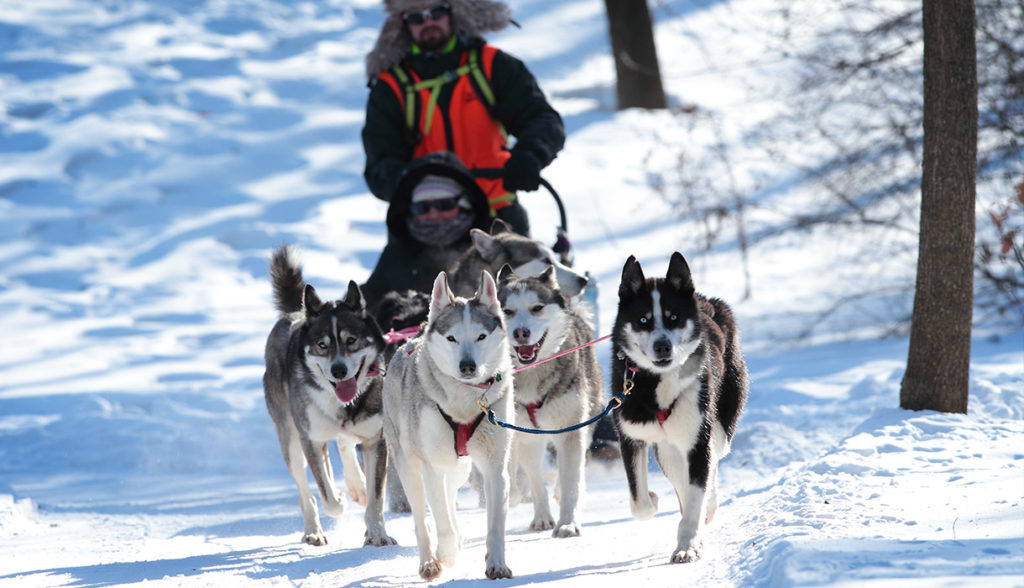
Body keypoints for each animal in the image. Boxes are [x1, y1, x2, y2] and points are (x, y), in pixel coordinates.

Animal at [262, 246, 393, 549]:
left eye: (351, 340)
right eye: (322, 345)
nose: (339, 370)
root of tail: (296, 313)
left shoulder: (376, 441)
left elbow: (376, 499)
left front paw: (377, 533)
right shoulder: (311, 440)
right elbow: (328, 496)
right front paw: (340, 501)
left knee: (345, 443)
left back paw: (357, 487)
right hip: (291, 441)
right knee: (306, 492)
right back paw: (314, 530)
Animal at [380, 272, 516, 585]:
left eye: (480, 336)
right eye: (452, 337)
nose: (467, 366)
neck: (465, 403)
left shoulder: (495, 467)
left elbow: (495, 524)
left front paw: (497, 564)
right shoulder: (432, 466)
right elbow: (440, 519)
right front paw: (447, 553)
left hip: (460, 468)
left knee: (451, 496)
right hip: (410, 467)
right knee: (423, 516)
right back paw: (430, 560)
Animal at [493, 266, 602, 540]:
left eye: (537, 308)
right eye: (507, 311)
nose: (521, 333)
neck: (532, 372)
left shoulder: (572, 428)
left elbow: (572, 480)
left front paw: (568, 523)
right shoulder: (519, 434)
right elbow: (527, 478)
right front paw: (537, 510)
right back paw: (540, 514)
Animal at [610, 252, 749, 561]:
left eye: (673, 317)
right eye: (643, 320)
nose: (663, 346)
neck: (657, 384)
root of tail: (707, 301)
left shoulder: (697, 440)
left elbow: (697, 492)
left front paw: (687, 545)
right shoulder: (631, 437)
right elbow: (639, 502)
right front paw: (653, 500)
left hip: (720, 423)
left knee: (713, 462)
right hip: (668, 449)